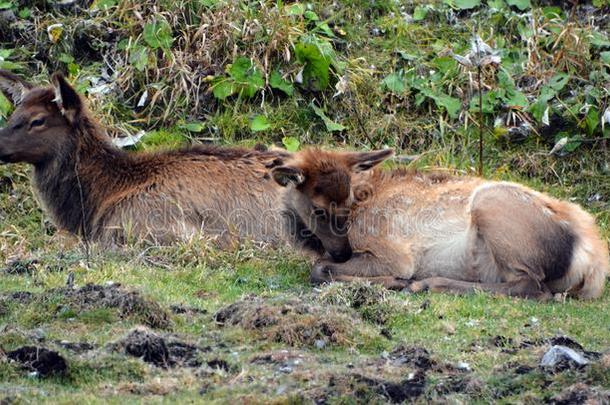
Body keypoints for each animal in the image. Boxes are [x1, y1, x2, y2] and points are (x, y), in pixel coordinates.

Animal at [272, 148, 608, 300]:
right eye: (318, 209)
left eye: (349, 200)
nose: (343, 252)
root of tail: (593, 260)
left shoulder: (391, 253)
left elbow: (319, 270)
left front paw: (394, 281)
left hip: (492, 204)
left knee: (531, 286)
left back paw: (428, 283)